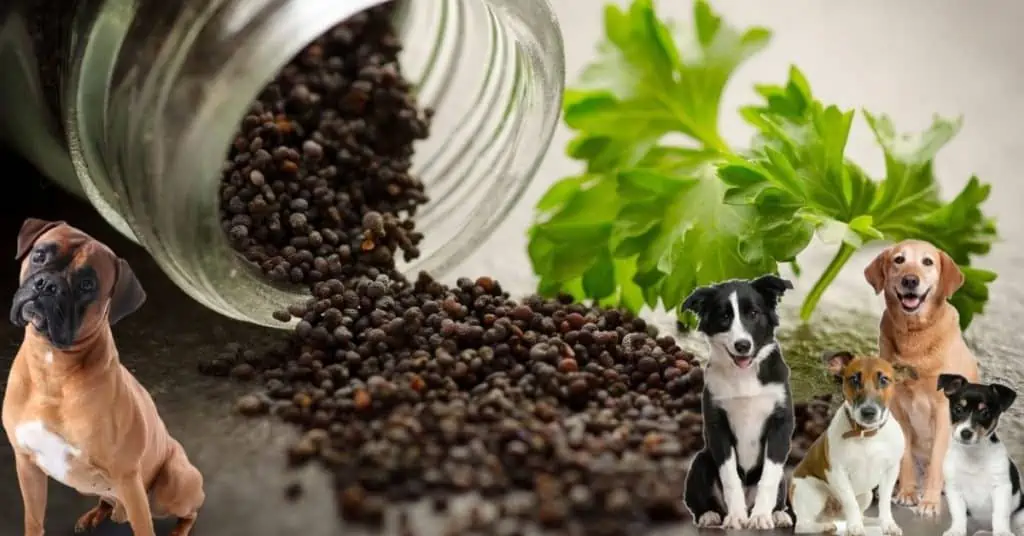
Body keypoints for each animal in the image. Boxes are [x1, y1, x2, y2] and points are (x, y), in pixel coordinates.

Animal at [1, 219, 205, 536]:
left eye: (87, 284)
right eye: (40, 255)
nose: (48, 284)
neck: (52, 368)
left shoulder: (128, 478)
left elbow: (144, 529)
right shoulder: (27, 465)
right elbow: (34, 520)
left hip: (171, 485)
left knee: (189, 512)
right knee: (106, 501)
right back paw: (95, 516)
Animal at [684, 276, 794, 532]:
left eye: (753, 313)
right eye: (724, 316)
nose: (742, 345)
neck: (744, 376)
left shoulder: (781, 424)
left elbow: (769, 477)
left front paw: (761, 517)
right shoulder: (717, 425)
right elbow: (730, 477)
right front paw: (736, 517)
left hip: (784, 477)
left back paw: (778, 515)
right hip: (701, 460)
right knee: (700, 501)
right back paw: (710, 516)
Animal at [786, 352, 917, 536]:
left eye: (884, 379)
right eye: (854, 379)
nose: (868, 412)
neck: (866, 435)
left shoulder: (891, 471)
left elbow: (884, 503)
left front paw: (888, 524)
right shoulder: (839, 473)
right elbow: (850, 503)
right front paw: (855, 528)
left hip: (867, 494)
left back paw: (870, 521)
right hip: (812, 492)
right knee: (803, 525)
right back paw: (827, 526)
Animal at [864, 238, 983, 516]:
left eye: (927, 262)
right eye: (899, 260)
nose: (910, 280)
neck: (914, 337)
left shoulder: (943, 411)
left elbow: (938, 461)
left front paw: (929, 503)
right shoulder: (897, 409)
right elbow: (905, 456)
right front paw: (908, 493)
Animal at [937, 373, 1024, 536]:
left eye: (985, 413)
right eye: (958, 409)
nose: (966, 433)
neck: (973, 455)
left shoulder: (1001, 488)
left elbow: (1000, 515)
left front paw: (1002, 532)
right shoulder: (954, 489)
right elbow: (958, 514)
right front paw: (956, 530)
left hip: (1020, 515)